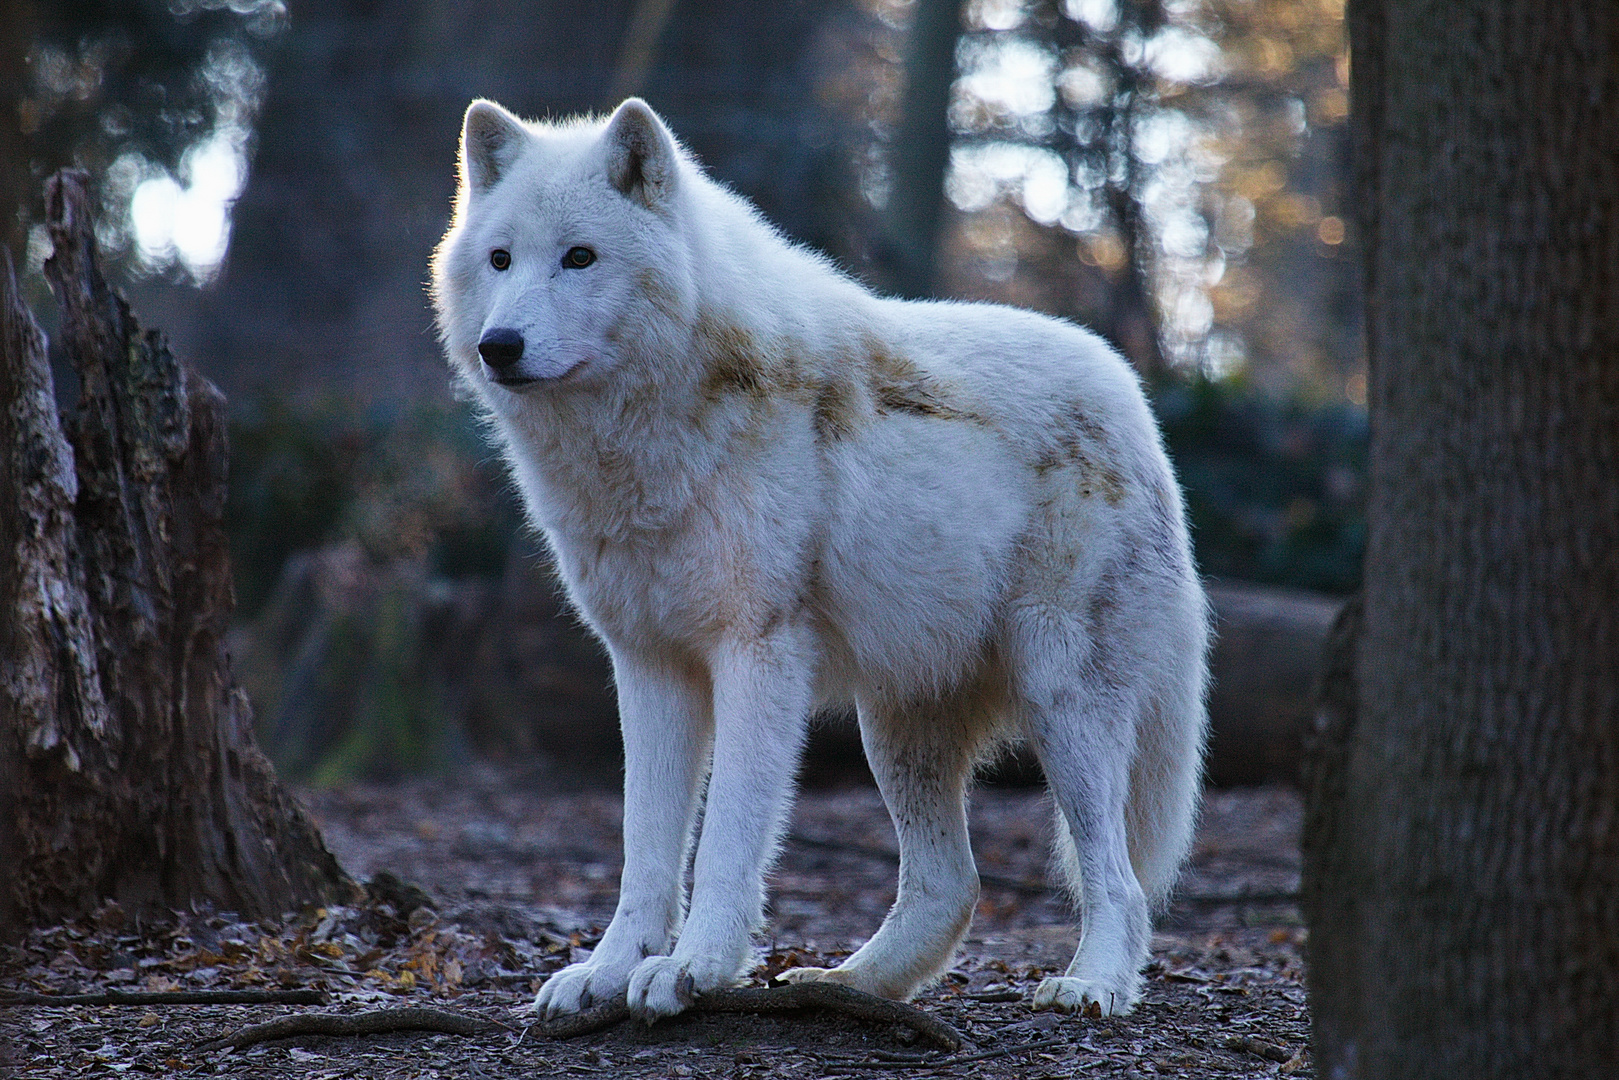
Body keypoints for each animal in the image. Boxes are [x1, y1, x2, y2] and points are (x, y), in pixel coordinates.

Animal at [433, 95, 1217, 1023]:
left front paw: (693, 969)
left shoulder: (756, 652)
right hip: (899, 727)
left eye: (579, 257)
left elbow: (727, 840)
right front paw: (608, 970)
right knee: (951, 886)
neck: (648, 438)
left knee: (1119, 882)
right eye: (500, 259)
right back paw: (845, 986)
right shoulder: (649, 664)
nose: (500, 345)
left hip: (1061, 700)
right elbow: (644, 848)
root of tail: (1132, 399)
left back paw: (1091, 984)